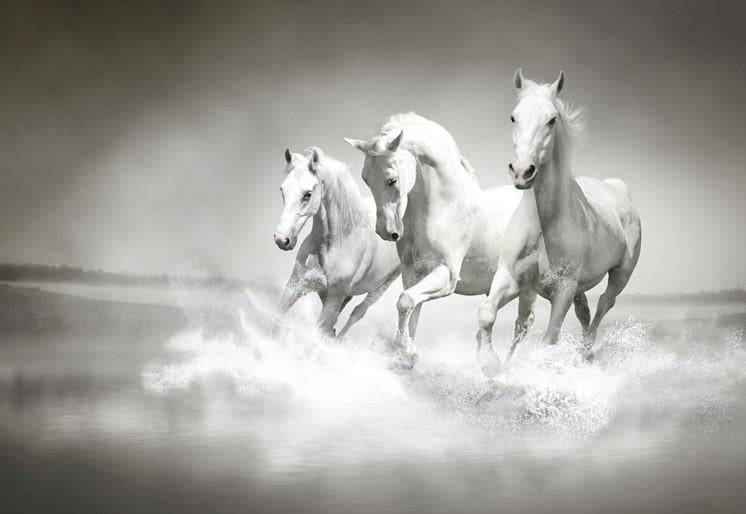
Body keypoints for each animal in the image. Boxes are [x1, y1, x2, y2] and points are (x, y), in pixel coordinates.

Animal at [273, 147, 401, 337]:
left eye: (307, 194)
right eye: (283, 190)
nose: (282, 239)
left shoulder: (334, 297)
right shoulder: (295, 285)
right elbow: (276, 319)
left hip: (383, 285)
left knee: (358, 312)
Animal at [345, 113, 530, 369]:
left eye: (392, 180)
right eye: (365, 179)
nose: (385, 231)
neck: (444, 206)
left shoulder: (446, 275)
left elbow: (404, 302)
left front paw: (406, 351)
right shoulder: (413, 274)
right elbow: (411, 308)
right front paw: (406, 354)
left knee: (525, 325)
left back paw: (502, 367)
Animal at [476, 69, 642, 375]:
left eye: (552, 120)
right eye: (513, 117)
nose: (522, 172)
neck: (544, 225)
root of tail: (619, 190)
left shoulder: (563, 289)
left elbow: (548, 339)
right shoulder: (511, 278)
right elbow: (487, 314)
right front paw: (492, 366)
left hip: (621, 273)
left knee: (604, 304)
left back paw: (586, 353)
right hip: (578, 288)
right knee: (583, 311)